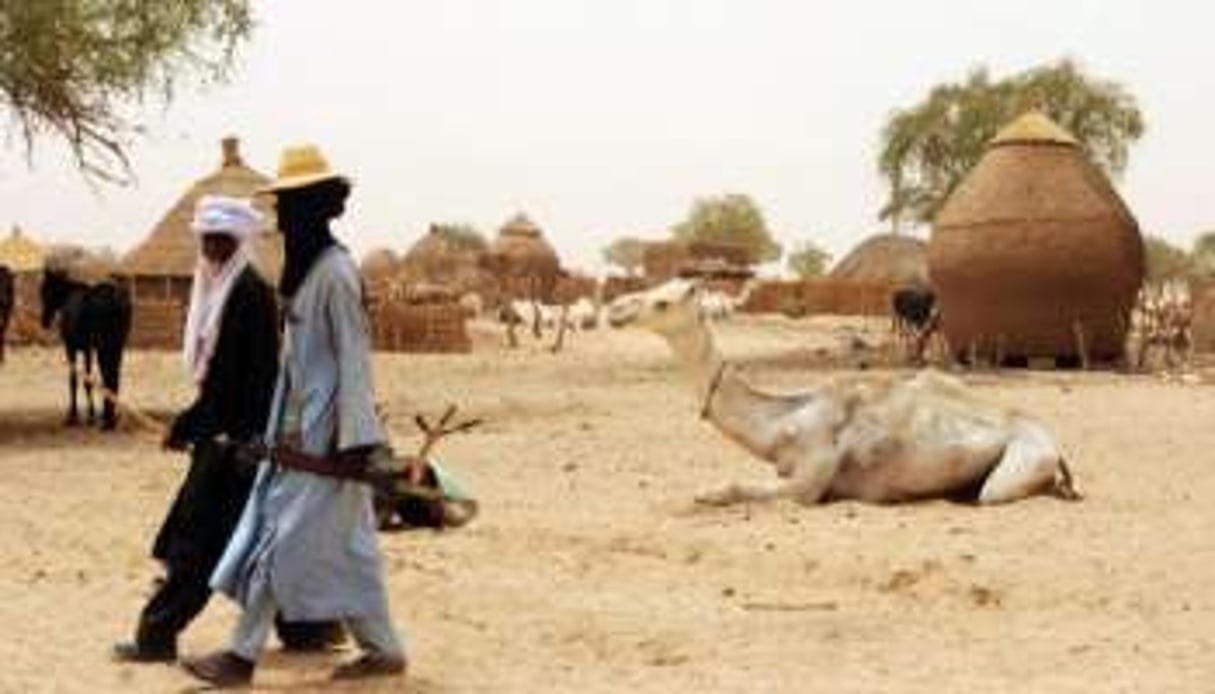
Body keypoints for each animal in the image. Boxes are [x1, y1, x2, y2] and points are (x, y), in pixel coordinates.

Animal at [607, 279, 1083, 508]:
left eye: (663, 302)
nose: (615, 309)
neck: (784, 423)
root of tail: (1056, 445)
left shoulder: (808, 481)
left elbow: (731, 488)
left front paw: (707, 494)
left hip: (1023, 461)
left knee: (998, 492)